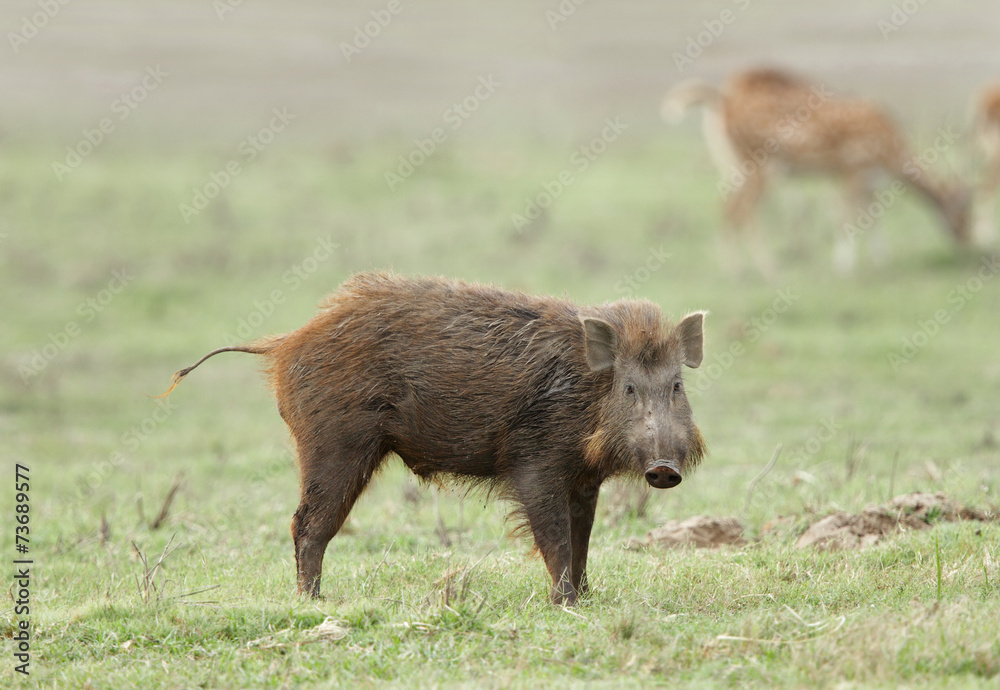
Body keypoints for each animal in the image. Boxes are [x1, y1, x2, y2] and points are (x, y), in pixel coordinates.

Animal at [162, 272, 707, 605]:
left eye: (677, 385)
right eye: (630, 387)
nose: (664, 469)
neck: (585, 390)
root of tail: (284, 342)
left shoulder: (584, 480)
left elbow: (583, 538)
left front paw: (587, 597)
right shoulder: (535, 464)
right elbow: (554, 538)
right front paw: (565, 604)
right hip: (335, 447)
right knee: (307, 525)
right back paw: (314, 601)